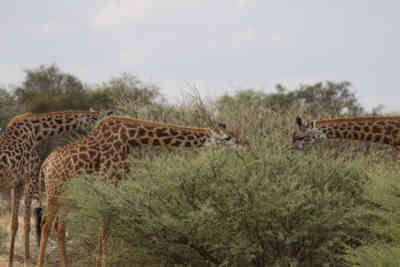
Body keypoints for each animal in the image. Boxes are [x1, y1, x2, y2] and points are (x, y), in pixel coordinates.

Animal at [0, 110, 110, 267]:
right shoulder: (30, 177)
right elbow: (27, 225)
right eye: (98, 120)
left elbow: (14, 224)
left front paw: (10, 263)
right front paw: (27, 261)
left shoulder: (16, 184)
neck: (37, 132)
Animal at [35, 116, 247, 267]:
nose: (245, 144)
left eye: (235, 133)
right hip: (54, 190)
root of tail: (45, 165)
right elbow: (104, 224)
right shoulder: (108, 177)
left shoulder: (120, 178)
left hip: (67, 193)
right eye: (227, 137)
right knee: (46, 225)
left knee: (59, 227)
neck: (131, 137)